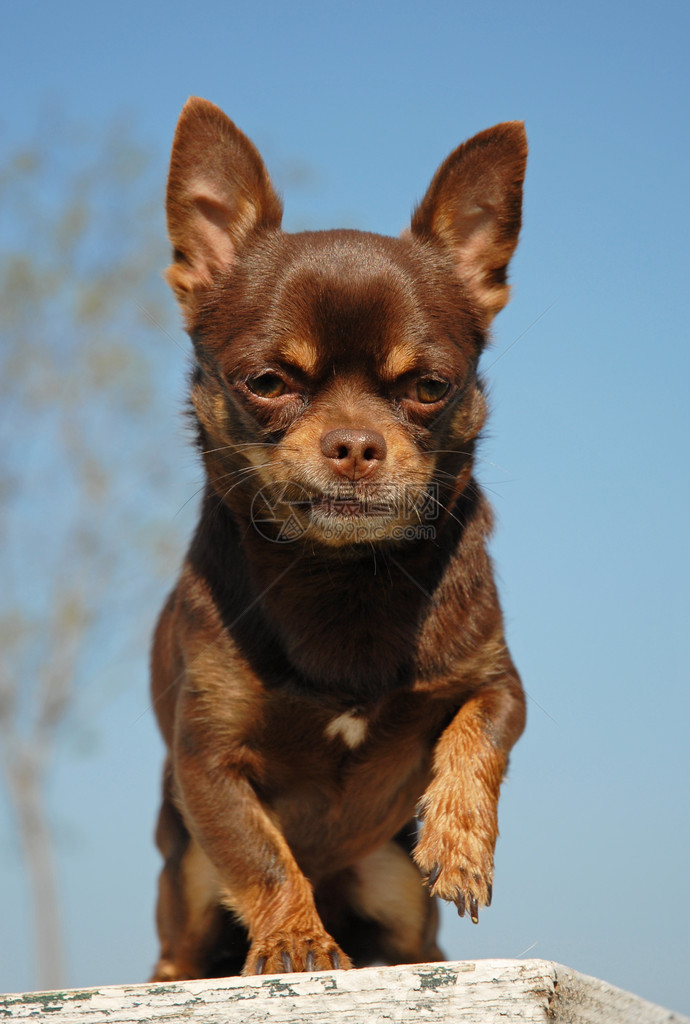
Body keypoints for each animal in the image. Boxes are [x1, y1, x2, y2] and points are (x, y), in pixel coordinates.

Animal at [150, 97, 524, 983]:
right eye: (267, 382)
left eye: (430, 387)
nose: (354, 444)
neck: (343, 575)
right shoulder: (207, 760)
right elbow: (259, 854)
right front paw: (295, 938)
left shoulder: (500, 684)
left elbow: (478, 735)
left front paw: (461, 840)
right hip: (185, 881)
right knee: (185, 943)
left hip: (393, 885)